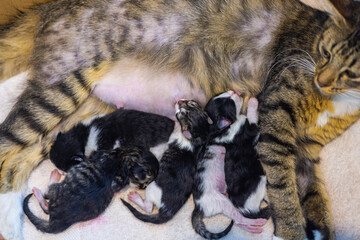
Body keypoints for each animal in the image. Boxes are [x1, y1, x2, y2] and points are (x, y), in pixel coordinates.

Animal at [22, 147, 158, 233]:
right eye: (142, 185)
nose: (142, 188)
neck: (123, 158)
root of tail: (56, 222)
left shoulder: (98, 154)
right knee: (46, 208)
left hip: (56, 189)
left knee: (46, 197)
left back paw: (48, 181)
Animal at [205, 91, 270, 220]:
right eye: (229, 102)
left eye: (223, 93)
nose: (235, 91)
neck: (220, 129)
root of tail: (245, 210)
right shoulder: (250, 131)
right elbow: (251, 117)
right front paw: (252, 101)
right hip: (259, 180)